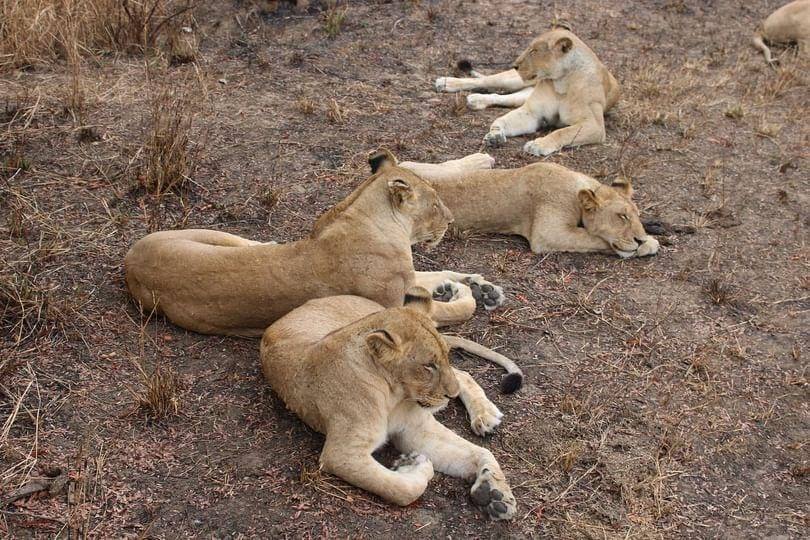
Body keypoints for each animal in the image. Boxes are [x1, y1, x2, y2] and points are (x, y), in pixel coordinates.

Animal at [124, 150, 505, 336]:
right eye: (437, 204)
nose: (451, 221)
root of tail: (129, 262)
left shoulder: (407, 278)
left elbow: (439, 272)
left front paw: (479, 284)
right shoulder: (391, 305)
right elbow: (455, 309)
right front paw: (469, 295)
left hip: (211, 235)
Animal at [260, 287, 518, 519]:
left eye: (445, 357)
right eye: (428, 366)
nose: (451, 395)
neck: (395, 395)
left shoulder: (416, 428)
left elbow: (481, 451)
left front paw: (495, 492)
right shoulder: (341, 454)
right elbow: (400, 489)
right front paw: (415, 464)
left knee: (463, 374)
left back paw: (485, 416)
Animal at [375, 151, 659, 258]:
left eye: (636, 215)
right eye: (621, 217)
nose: (640, 238)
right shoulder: (547, 234)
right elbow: (594, 238)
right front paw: (646, 245)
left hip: (413, 170)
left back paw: (481, 160)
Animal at [434, 28, 620, 156]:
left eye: (534, 51)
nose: (515, 65)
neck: (560, 82)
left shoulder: (593, 124)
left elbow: (562, 132)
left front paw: (538, 145)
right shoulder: (532, 112)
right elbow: (502, 120)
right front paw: (495, 135)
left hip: (523, 94)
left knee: (501, 97)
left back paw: (476, 100)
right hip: (513, 80)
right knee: (486, 81)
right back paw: (445, 83)